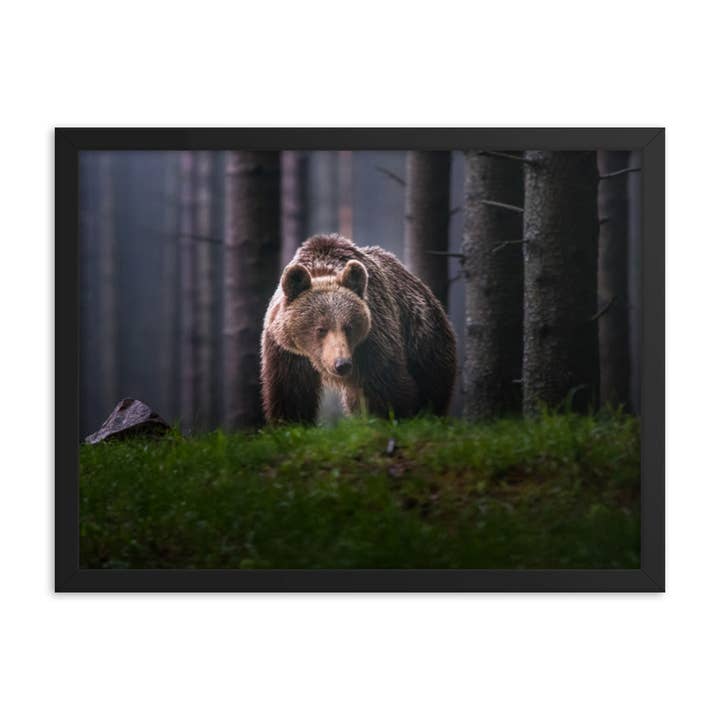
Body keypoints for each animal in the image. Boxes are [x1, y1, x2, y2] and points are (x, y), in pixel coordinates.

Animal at [261, 233, 457, 423]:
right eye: (320, 329)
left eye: (348, 326)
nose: (342, 364)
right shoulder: (286, 351)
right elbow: (291, 393)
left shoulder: (372, 340)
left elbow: (385, 384)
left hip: (424, 339)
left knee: (432, 386)